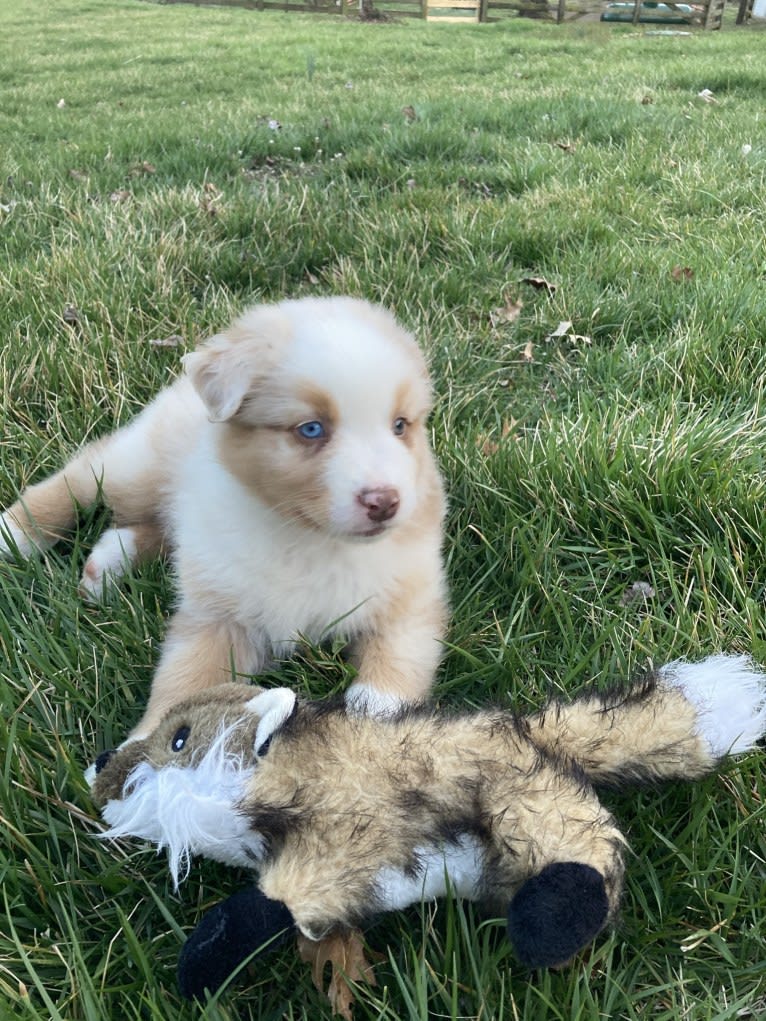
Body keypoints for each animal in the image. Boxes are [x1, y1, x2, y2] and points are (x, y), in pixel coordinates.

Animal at [3, 298, 449, 739]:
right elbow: (183, 681)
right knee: (85, 474)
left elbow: (391, 677)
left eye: (400, 426)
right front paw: (145, 750)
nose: (385, 503)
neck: (307, 537)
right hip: (140, 466)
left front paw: (375, 729)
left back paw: (107, 562)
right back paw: (16, 534)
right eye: (311, 429)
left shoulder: (412, 603)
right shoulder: (218, 616)